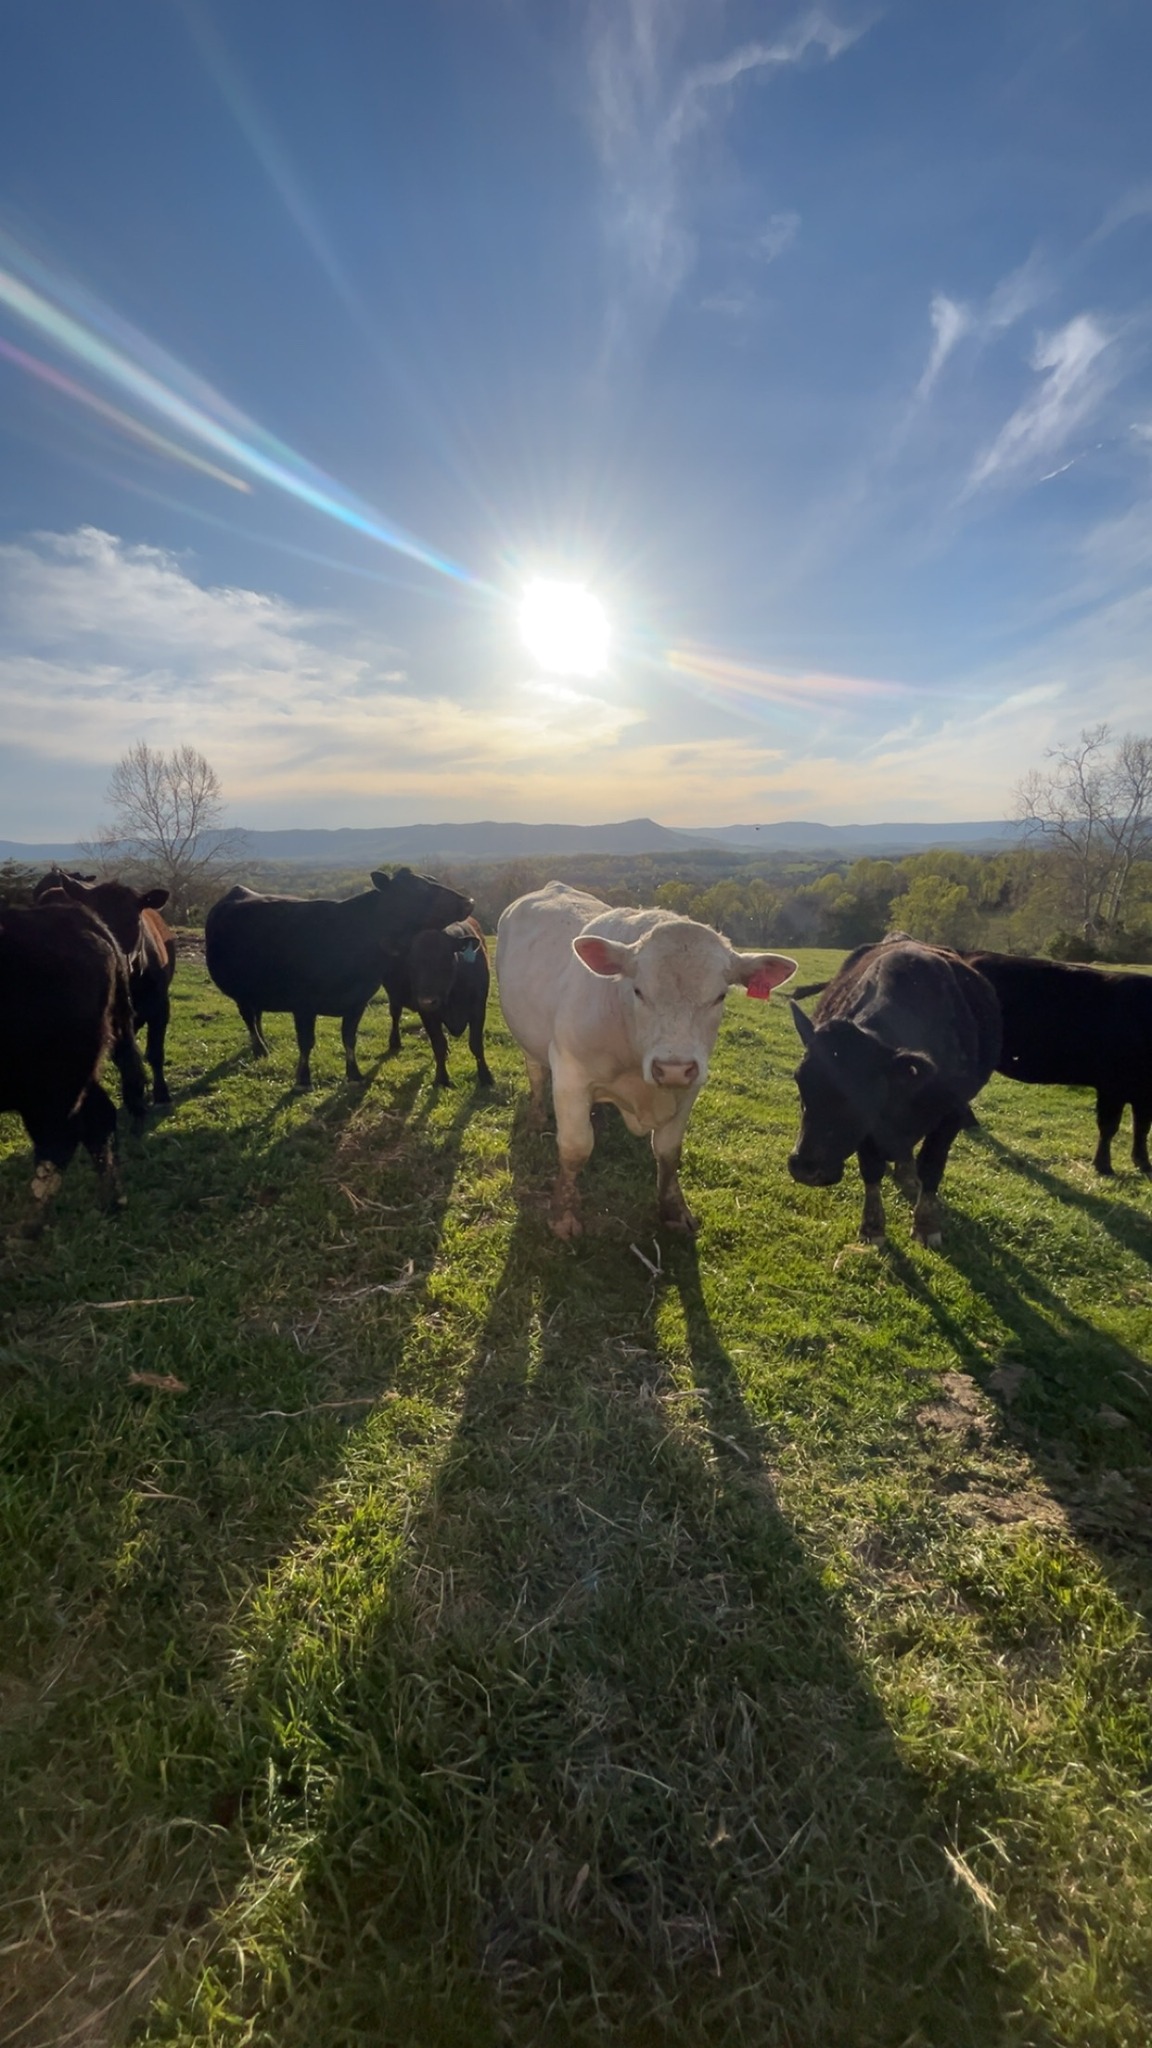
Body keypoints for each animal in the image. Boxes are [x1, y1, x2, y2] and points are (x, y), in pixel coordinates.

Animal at [204, 868, 473, 1089]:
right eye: (418, 888)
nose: (468, 901)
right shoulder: (303, 1004)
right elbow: (306, 1042)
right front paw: (303, 1080)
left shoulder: (357, 1001)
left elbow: (349, 1039)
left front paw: (354, 1075)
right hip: (240, 991)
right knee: (249, 1018)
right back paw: (260, 1048)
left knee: (257, 1015)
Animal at [383, 917, 494, 1088]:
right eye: (411, 962)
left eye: (446, 958)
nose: (428, 1001)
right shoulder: (427, 1013)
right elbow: (438, 1044)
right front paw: (441, 1077)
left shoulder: (478, 1007)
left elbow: (476, 1044)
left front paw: (486, 1076)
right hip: (394, 997)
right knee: (395, 1014)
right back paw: (394, 1041)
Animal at [496, 882, 797, 1239]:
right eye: (638, 991)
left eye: (720, 996)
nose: (672, 1068)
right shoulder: (570, 1073)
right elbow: (575, 1147)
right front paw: (564, 1214)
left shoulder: (690, 1086)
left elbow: (668, 1151)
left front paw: (674, 1209)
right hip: (529, 1044)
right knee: (537, 1076)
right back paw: (538, 1117)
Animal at [787, 938, 1001, 1247]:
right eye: (800, 1079)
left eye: (863, 1090)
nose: (805, 1168)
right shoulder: (868, 1128)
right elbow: (871, 1168)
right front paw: (872, 1226)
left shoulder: (954, 1111)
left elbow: (932, 1165)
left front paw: (926, 1224)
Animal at [963, 950, 1152, 1176]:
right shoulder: (1112, 1087)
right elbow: (1109, 1127)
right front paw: (1103, 1165)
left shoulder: (1143, 1095)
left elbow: (1142, 1127)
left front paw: (1143, 1163)